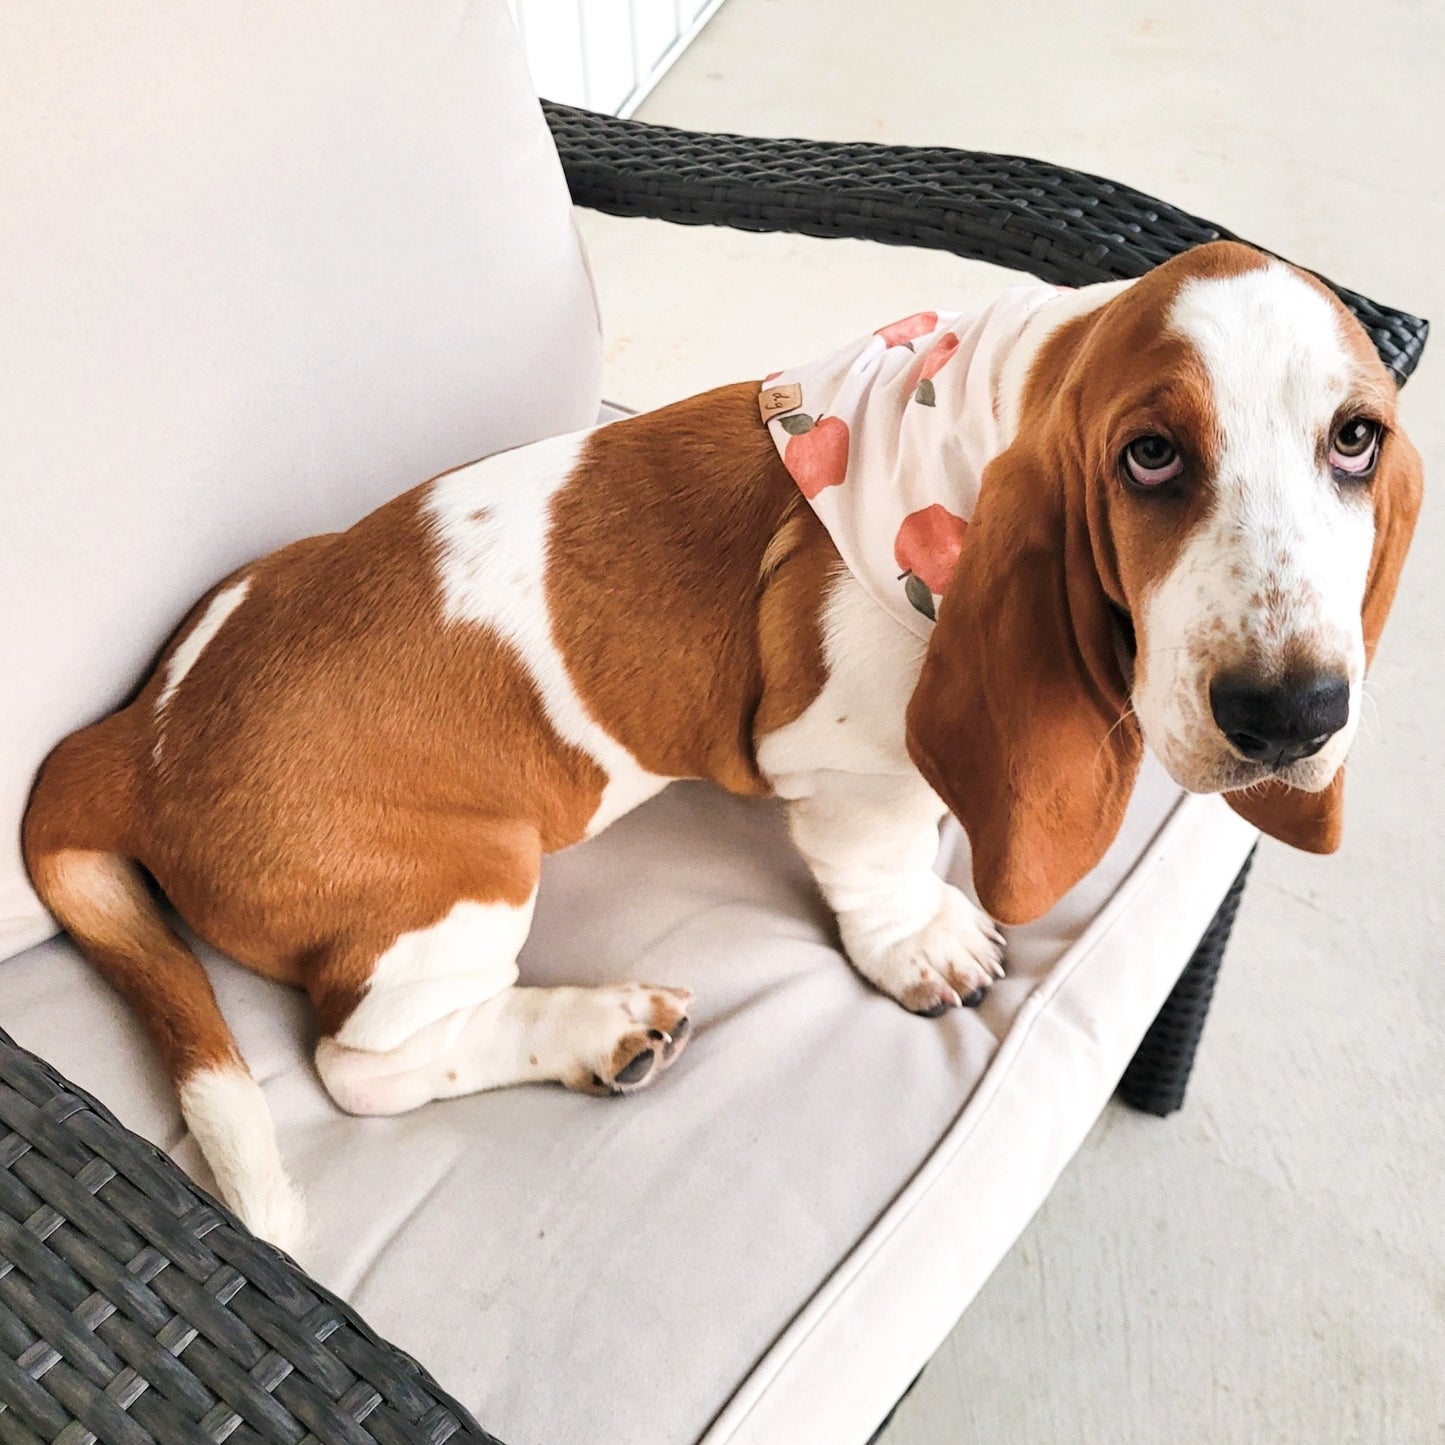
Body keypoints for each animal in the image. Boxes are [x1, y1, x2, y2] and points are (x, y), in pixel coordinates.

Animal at [22, 242, 1421, 1248]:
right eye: (1148, 455)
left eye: (1354, 439)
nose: (1293, 713)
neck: (952, 432)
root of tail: (134, 737)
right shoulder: (844, 760)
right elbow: (885, 858)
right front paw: (922, 942)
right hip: (463, 886)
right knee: (357, 1066)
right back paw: (593, 1028)